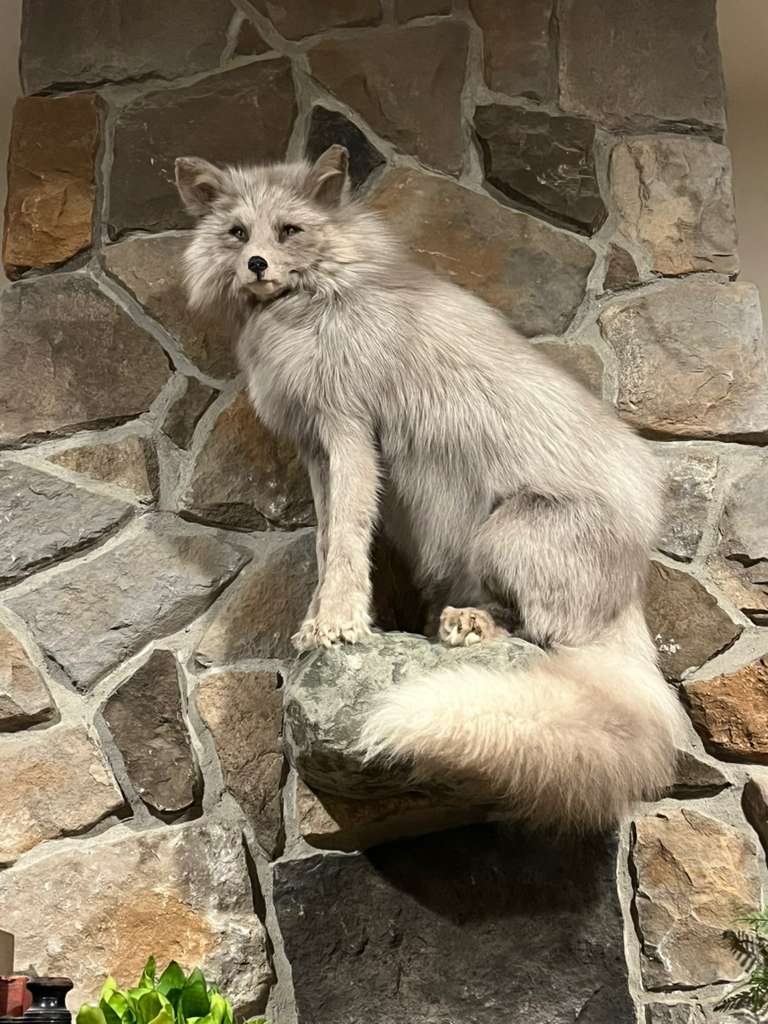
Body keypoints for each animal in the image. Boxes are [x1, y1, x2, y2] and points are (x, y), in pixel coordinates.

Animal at [175, 144, 686, 830]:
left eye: (289, 231)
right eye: (237, 233)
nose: (257, 265)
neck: (318, 301)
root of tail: (632, 586)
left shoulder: (350, 429)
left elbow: (349, 538)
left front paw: (340, 623)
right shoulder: (314, 447)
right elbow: (326, 540)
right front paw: (314, 622)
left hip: (506, 534)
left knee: (542, 638)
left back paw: (472, 626)